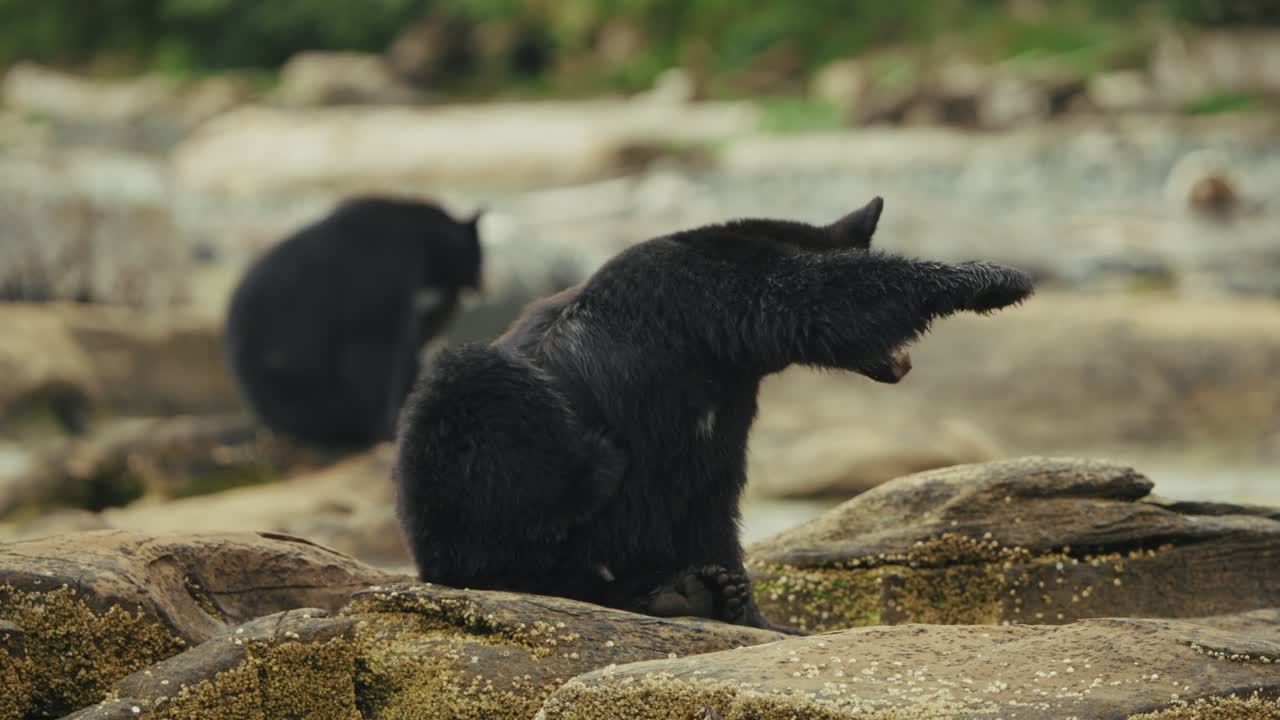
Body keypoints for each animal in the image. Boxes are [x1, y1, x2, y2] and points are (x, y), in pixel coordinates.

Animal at [394, 197, 1033, 631]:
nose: (904, 364)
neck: (726, 361)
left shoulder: (726, 400)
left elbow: (711, 495)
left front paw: (752, 610)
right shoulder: (703, 292)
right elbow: (820, 294)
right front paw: (995, 278)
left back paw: (682, 591)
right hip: (468, 445)